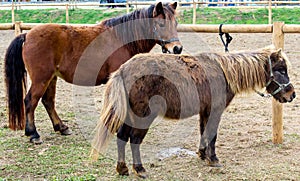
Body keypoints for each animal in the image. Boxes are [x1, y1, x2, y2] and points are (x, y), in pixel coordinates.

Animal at [5, 1, 183, 143]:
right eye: (161, 24)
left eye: (175, 24)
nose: (177, 48)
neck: (121, 39)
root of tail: (27, 35)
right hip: (41, 79)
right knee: (30, 101)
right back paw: (33, 134)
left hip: (51, 78)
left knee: (48, 101)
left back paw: (61, 127)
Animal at [91, 45, 296, 178]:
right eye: (281, 70)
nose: (292, 94)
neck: (225, 72)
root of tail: (123, 70)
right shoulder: (215, 111)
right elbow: (212, 135)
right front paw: (213, 159)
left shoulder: (205, 111)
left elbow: (204, 132)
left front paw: (203, 154)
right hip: (142, 117)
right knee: (134, 139)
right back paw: (139, 169)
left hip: (129, 116)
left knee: (122, 137)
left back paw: (123, 169)